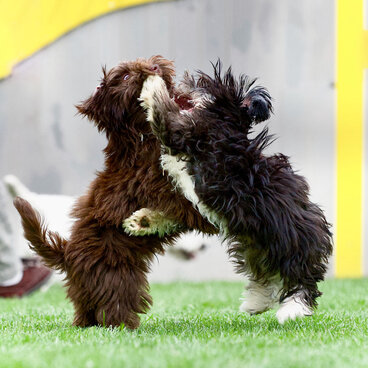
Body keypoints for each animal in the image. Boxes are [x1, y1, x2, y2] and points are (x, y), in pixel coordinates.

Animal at [14, 56, 216, 330]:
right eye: (126, 77)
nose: (154, 67)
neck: (141, 135)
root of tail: (66, 253)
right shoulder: (157, 181)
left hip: (89, 287)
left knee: (85, 312)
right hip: (118, 277)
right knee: (112, 309)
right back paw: (124, 327)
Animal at [124, 62, 334, 322]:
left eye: (203, 83)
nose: (182, 82)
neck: (224, 119)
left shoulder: (186, 132)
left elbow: (163, 111)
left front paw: (152, 84)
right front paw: (142, 222)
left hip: (288, 246)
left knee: (303, 283)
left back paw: (291, 309)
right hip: (256, 246)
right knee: (267, 279)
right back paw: (255, 304)